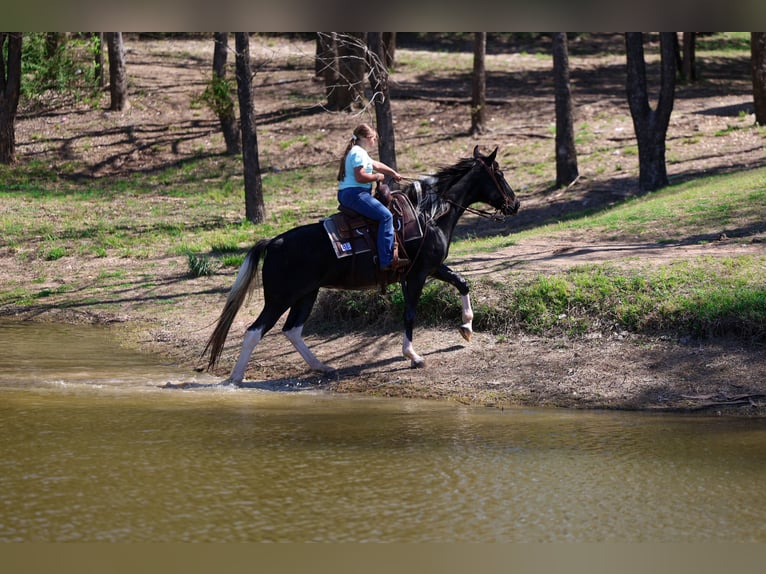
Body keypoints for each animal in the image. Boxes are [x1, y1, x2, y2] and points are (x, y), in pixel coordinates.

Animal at [203, 145, 520, 384]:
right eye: (499, 173)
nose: (515, 204)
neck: (428, 214)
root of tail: (274, 242)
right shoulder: (417, 275)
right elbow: (409, 313)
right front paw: (412, 356)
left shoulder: (432, 267)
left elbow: (462, 283)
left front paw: (466, 327)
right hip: (280, 298)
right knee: (254, 332)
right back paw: (236, 379)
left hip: (306, 294)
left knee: (292, 330)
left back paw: (321, 366)